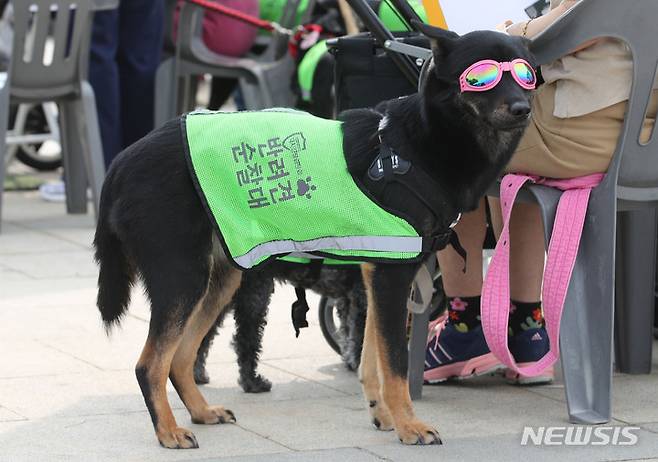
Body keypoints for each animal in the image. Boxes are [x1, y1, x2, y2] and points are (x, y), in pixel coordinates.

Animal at [190, 262, 366, 388]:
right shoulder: (363, 292)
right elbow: (362, 335)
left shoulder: (347, 296)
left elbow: (349, 331)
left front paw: (350, 361)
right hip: (254, 288)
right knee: (245, 337)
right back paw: (252, 382)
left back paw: (195, 374)